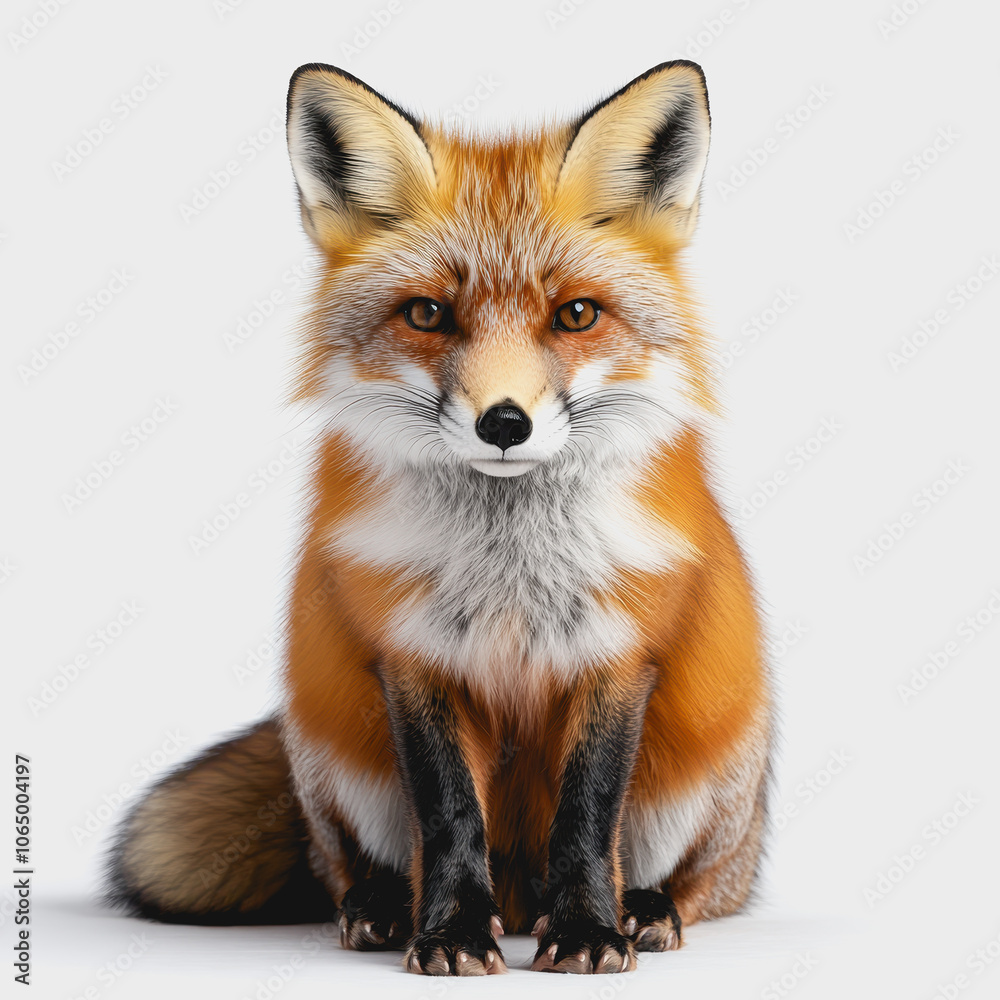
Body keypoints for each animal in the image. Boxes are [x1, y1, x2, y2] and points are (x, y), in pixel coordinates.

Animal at [105, 60, 774, 976]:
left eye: (576, 314)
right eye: (427, 314)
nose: (505, 423)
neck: (509, 573)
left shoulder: (618, 650)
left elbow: (588, 814)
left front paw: (588, 930)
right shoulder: (411, 652)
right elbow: (449, 812)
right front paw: (451, 931)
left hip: (706, 777)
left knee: (709, 885)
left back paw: (644, 907)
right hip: (337, 766)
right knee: (351, 863)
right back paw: (385, 907)